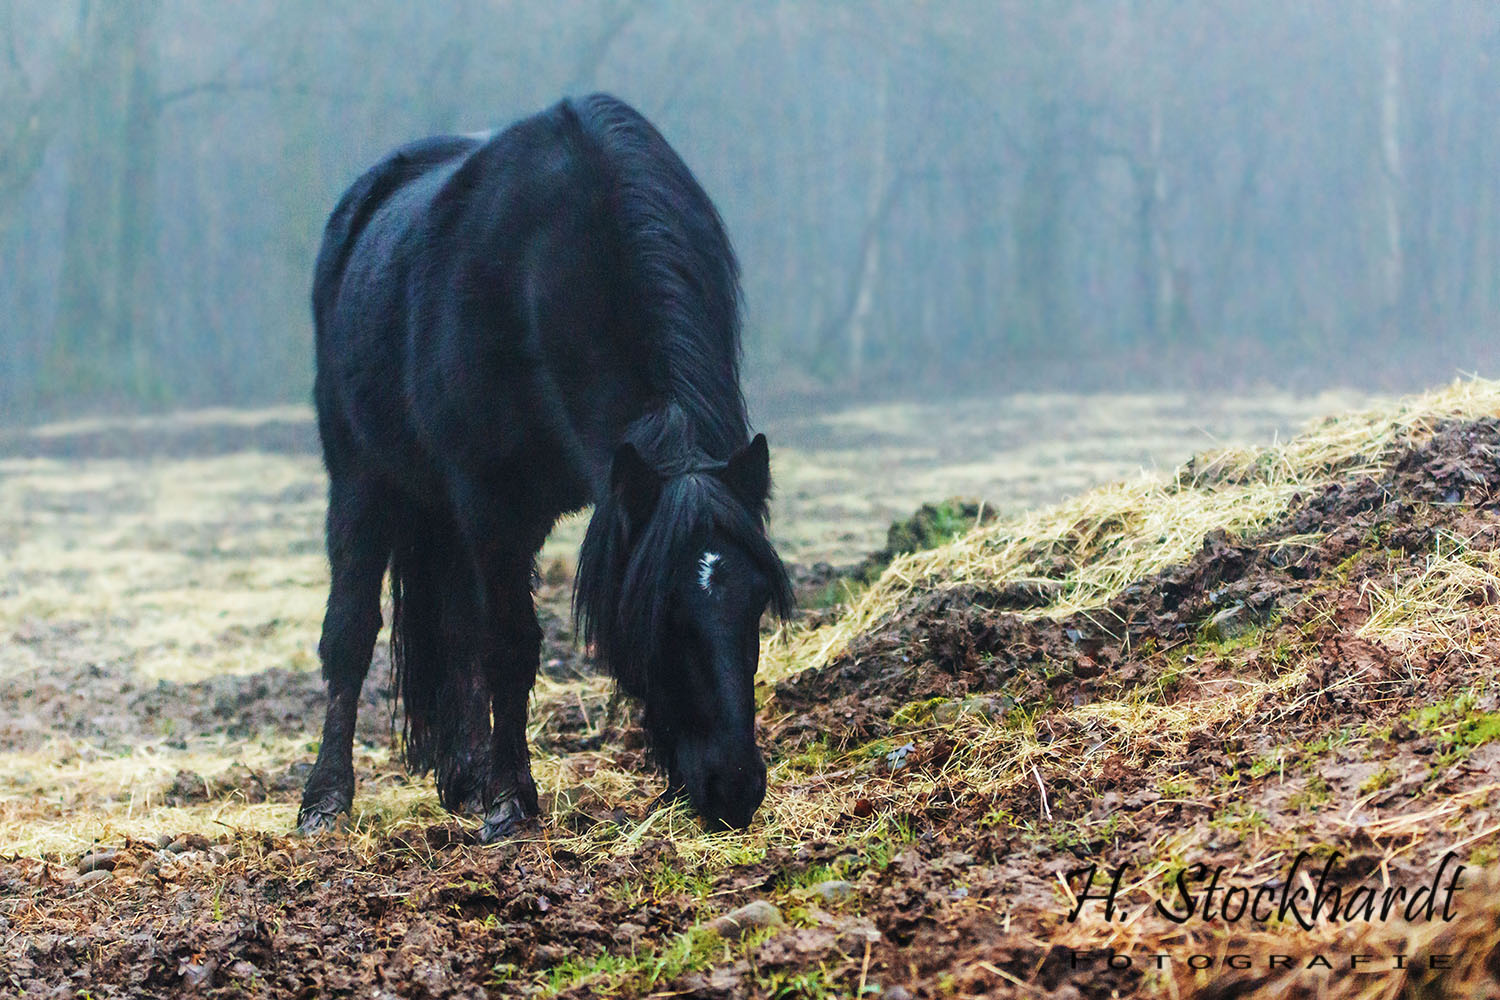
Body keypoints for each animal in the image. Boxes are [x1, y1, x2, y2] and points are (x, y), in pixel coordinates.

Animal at [301, 97, 798, 839]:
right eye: (663, 609)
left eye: (757, 602)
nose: (734, 789)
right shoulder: (492, 505)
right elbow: (509, 643)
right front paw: (511, 799)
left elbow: (478, 639)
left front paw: (494, 787)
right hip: (362, 480)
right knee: (351, 633)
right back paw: (326, 800)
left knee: (452, 629)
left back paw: (462, 778)